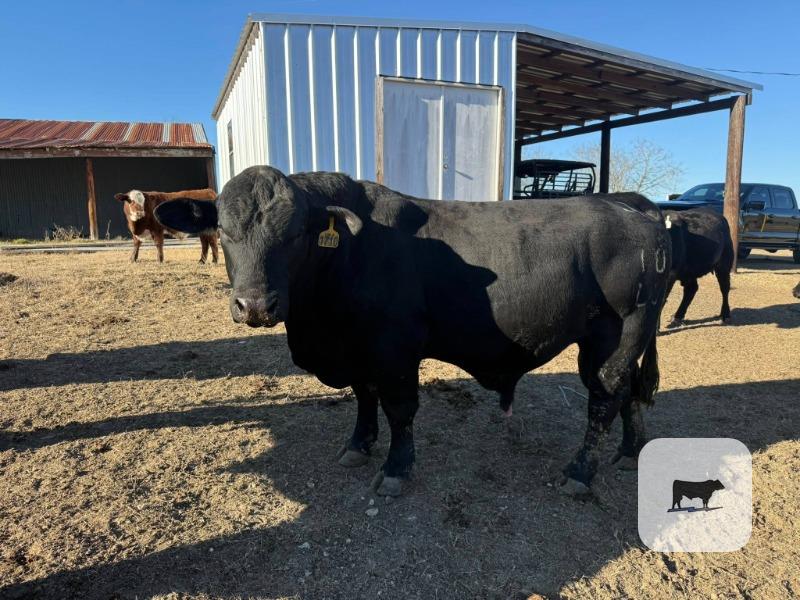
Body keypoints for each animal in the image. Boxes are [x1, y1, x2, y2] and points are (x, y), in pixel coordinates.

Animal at [155, 166, 671, 497]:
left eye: (297, 232)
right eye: (224, 230)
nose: (256, 305)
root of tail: (637, 212)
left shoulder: (395, 350)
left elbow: (399, 409)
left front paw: (396, 469)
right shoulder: (357, 351)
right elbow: (364, 398)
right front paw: (358, 446)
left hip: (616, 336)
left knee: (604, 399)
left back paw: (580, 475)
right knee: (630, 394)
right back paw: (630, 453)